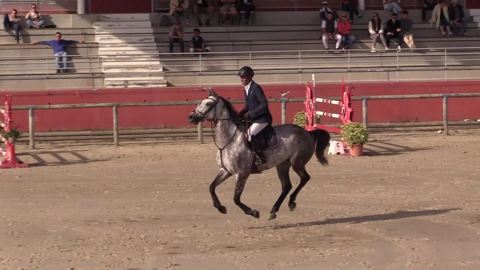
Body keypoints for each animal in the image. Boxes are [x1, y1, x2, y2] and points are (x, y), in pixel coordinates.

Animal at [188, 88, 330, 219]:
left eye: (208, 104)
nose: (191, 117)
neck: (228, 140)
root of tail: (307, 132)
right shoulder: (226, 170)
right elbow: (211, 187)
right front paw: (221, 208)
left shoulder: (242, 173)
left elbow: (236, 199)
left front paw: (253, 212)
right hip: (282, 165)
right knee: (286, 186)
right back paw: (274, 210)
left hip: (297, 163)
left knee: (305, 178)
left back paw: (291, 203)